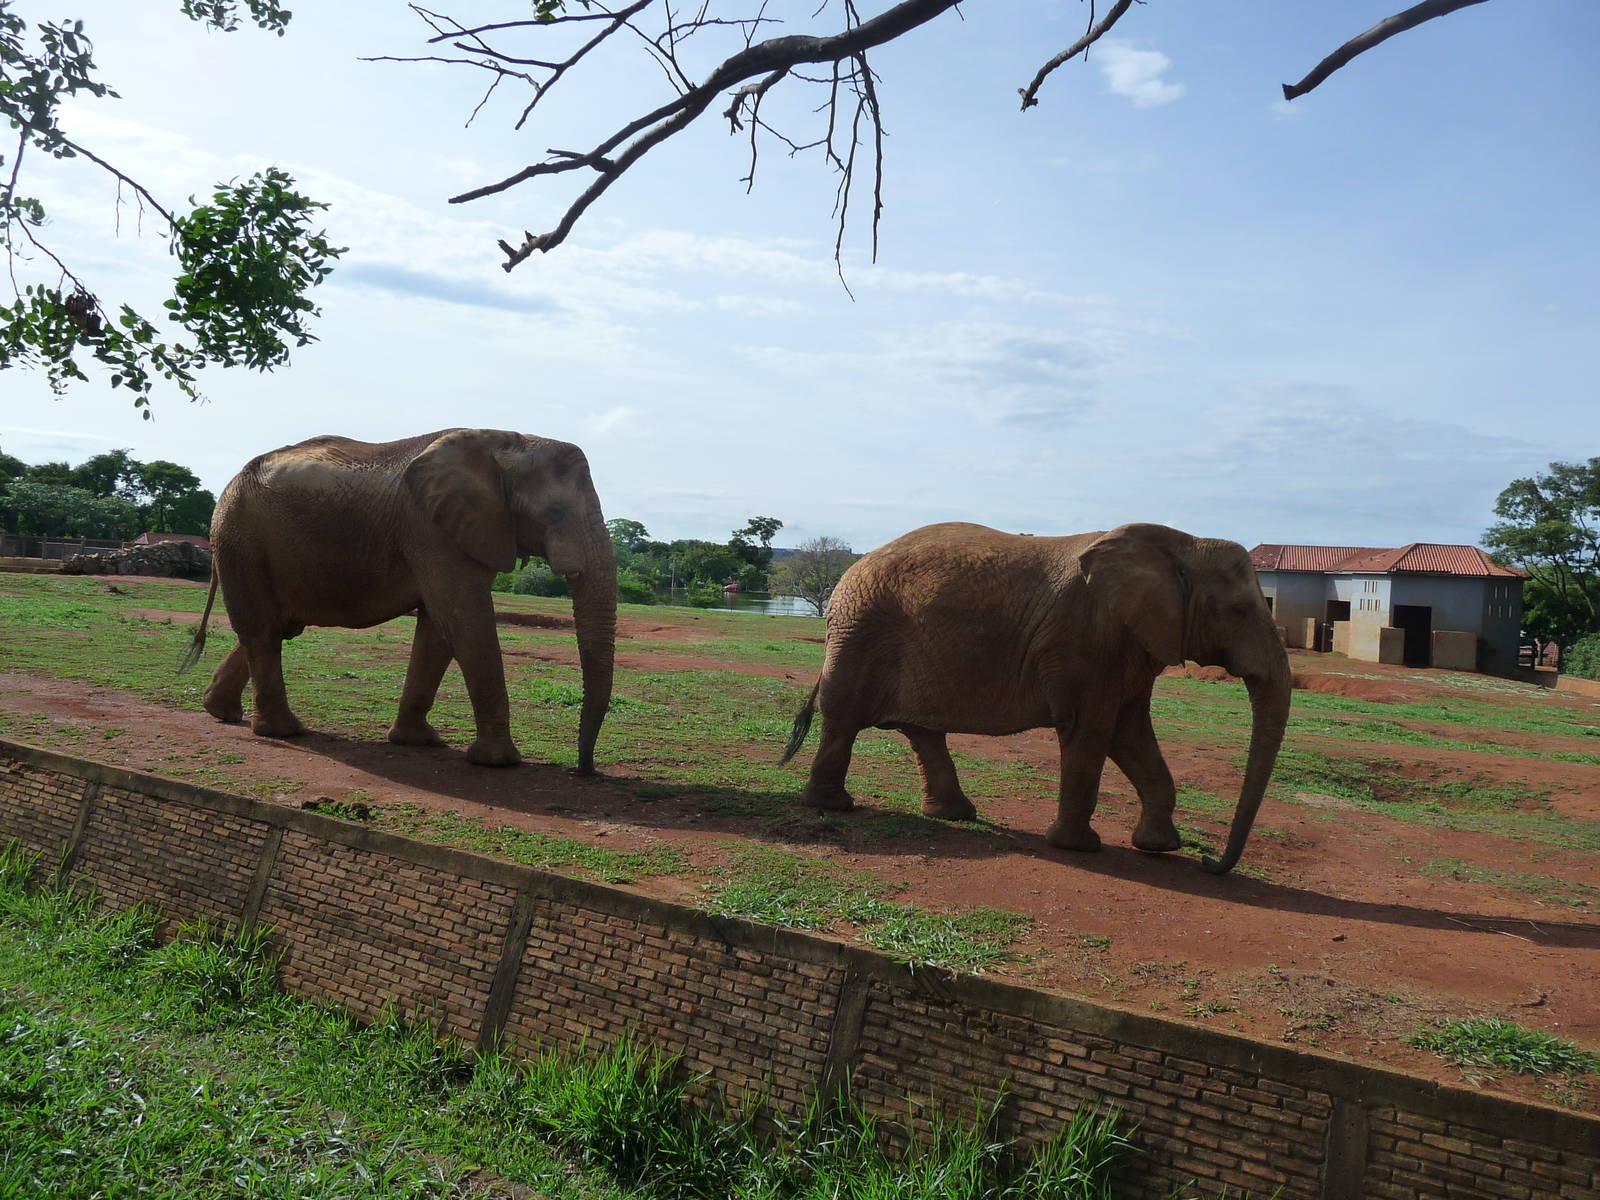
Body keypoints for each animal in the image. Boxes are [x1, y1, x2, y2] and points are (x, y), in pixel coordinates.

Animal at [183, 428, 616, 773]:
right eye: (555, 512)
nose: (584, 770)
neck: (508, 442)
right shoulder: (430, 528)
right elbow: (464, 620)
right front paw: (499, 762)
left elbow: (439, 628)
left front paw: (418, 741)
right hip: (240, 539)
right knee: (263, 632)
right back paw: (283, 731)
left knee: (276, 628)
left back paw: (221, 712)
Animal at [779, 522, 1290, 874]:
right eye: (1240, 611)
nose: (1211, 864)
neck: (1183, 543)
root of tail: (849, 571)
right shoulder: (1086, 641)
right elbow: (1092, 730)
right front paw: (1080, 847)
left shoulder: (1129, 645)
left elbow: (1130, 734)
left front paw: (1160, 847)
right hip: (860, 631)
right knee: (844, 719)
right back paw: (833, 807)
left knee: (923, 732)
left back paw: (955, 814)